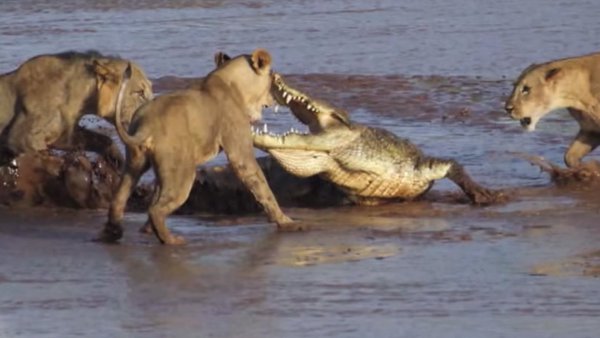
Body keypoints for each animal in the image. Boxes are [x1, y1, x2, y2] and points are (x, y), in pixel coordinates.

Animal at [0, 50, 154, 166]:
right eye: (139, 92)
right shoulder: (21, 138)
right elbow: (52, 161)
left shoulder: (64, 136)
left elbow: (104, 140)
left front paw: (117, 163)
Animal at [97, 48, 294, 244]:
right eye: (272, 78)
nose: (274, 99)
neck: (231, 82)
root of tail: (146, 126)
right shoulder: (240, 153)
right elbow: (263, 187)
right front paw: (286, 222)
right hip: (182, 172)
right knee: (156, 210)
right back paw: (171, 240)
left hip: (136, 164)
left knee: (119, 200)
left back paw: (114, 233)